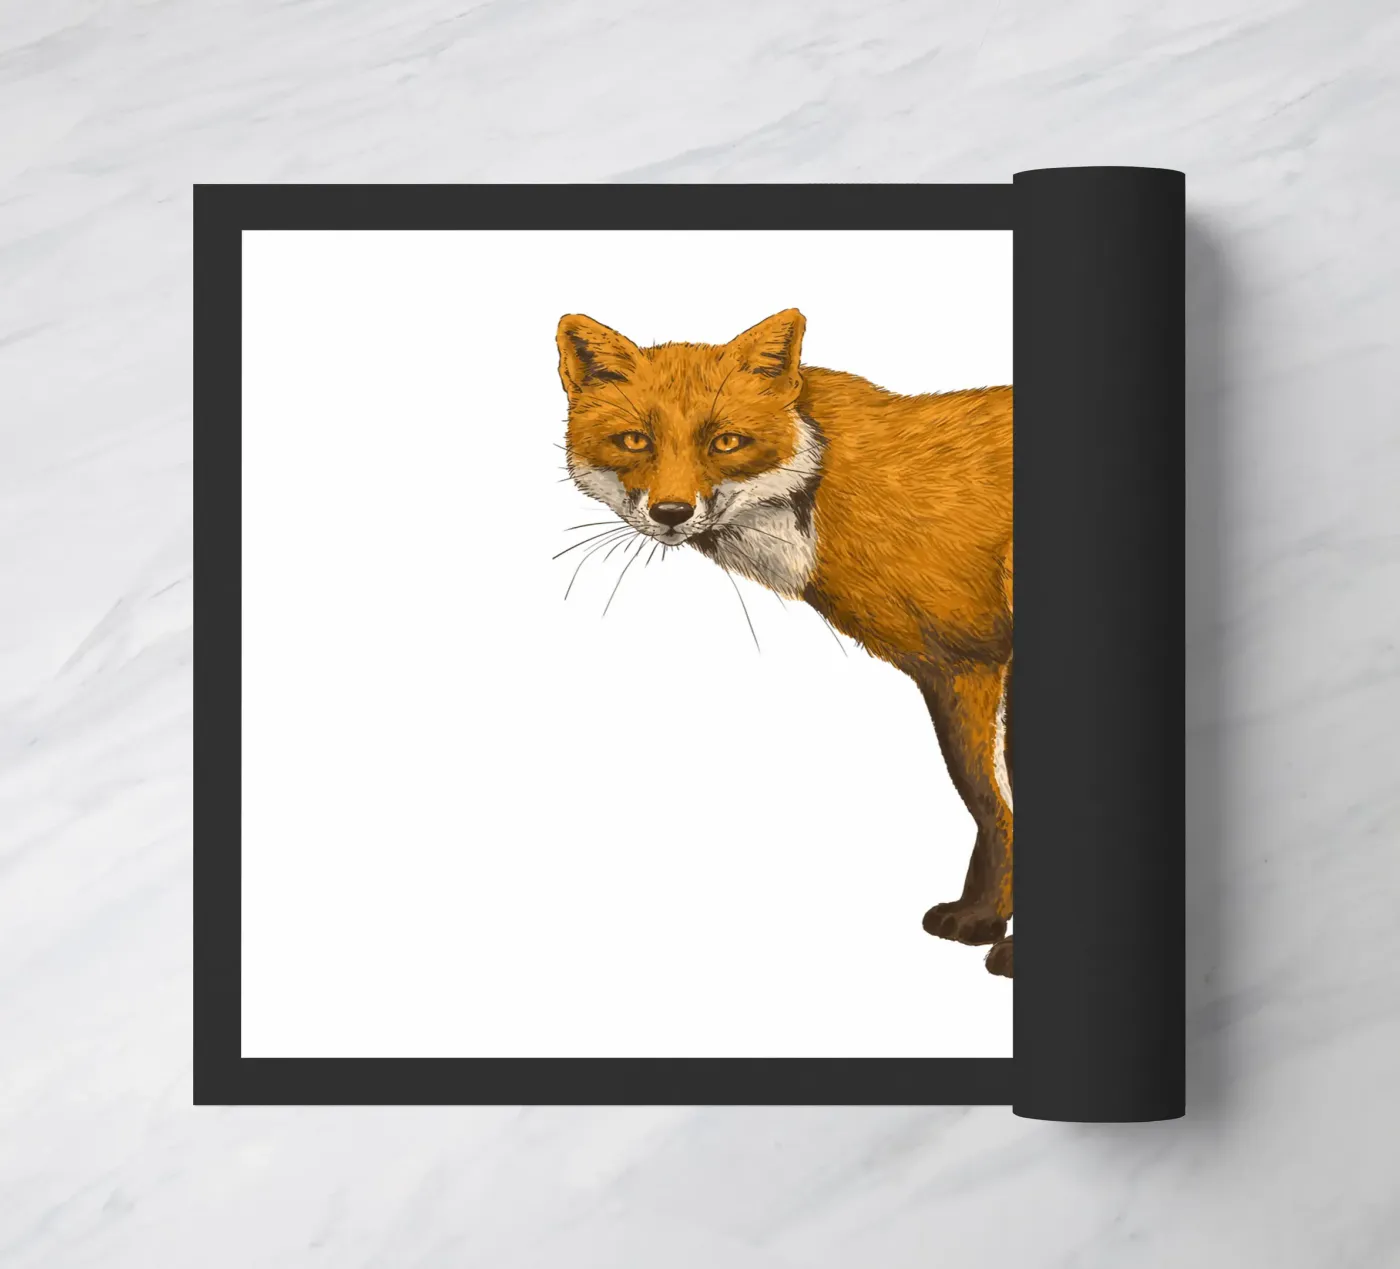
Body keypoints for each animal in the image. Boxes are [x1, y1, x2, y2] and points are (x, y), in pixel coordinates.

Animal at [556, 308, 1014, 978]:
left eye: (726, 442)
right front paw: (982, 917)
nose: (671, 512)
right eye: (635, 441)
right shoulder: (958, 668)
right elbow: (987, 799)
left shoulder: (985, 660)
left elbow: (999, 797)